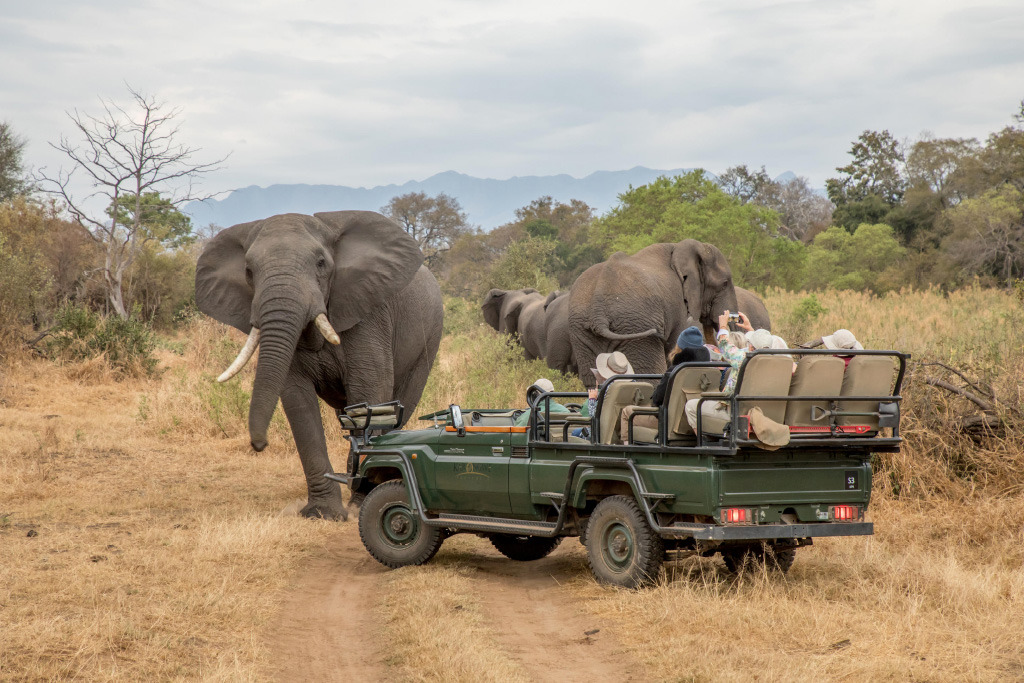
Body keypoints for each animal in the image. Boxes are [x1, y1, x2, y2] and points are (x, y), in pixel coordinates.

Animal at [195, 210, 444, 520]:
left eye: (321, 263)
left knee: (401, 406)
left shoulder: (369, 315)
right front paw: (323, 514)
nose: (258, 445)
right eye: (249, 271)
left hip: (428, 340)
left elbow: (370, 392)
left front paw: (359, 504)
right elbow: (298, 401)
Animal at [565, 239, 741, 387]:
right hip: (636, 324)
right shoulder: (677, 303)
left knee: (591, 378)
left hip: (582, 330)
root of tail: (598, 311)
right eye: (725, 283)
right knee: (648, 374)